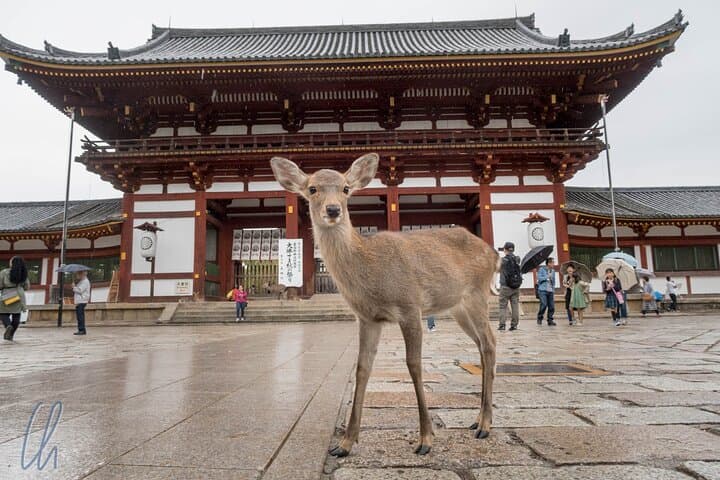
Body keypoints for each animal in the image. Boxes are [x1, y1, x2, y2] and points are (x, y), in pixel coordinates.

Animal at [270, 153, 499, 457]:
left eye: (346, 188)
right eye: (312, 188)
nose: (333, 210)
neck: (370, 269)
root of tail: (494, 254)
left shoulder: (410, 305)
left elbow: (413, 364)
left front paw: (426, 439)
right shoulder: (367, 318)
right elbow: (362, 367)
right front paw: (345, 443)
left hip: (476, 293)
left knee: (490, 343)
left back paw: (485, 425)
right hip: (458, 308)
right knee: (481, 344)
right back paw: (477, 420)